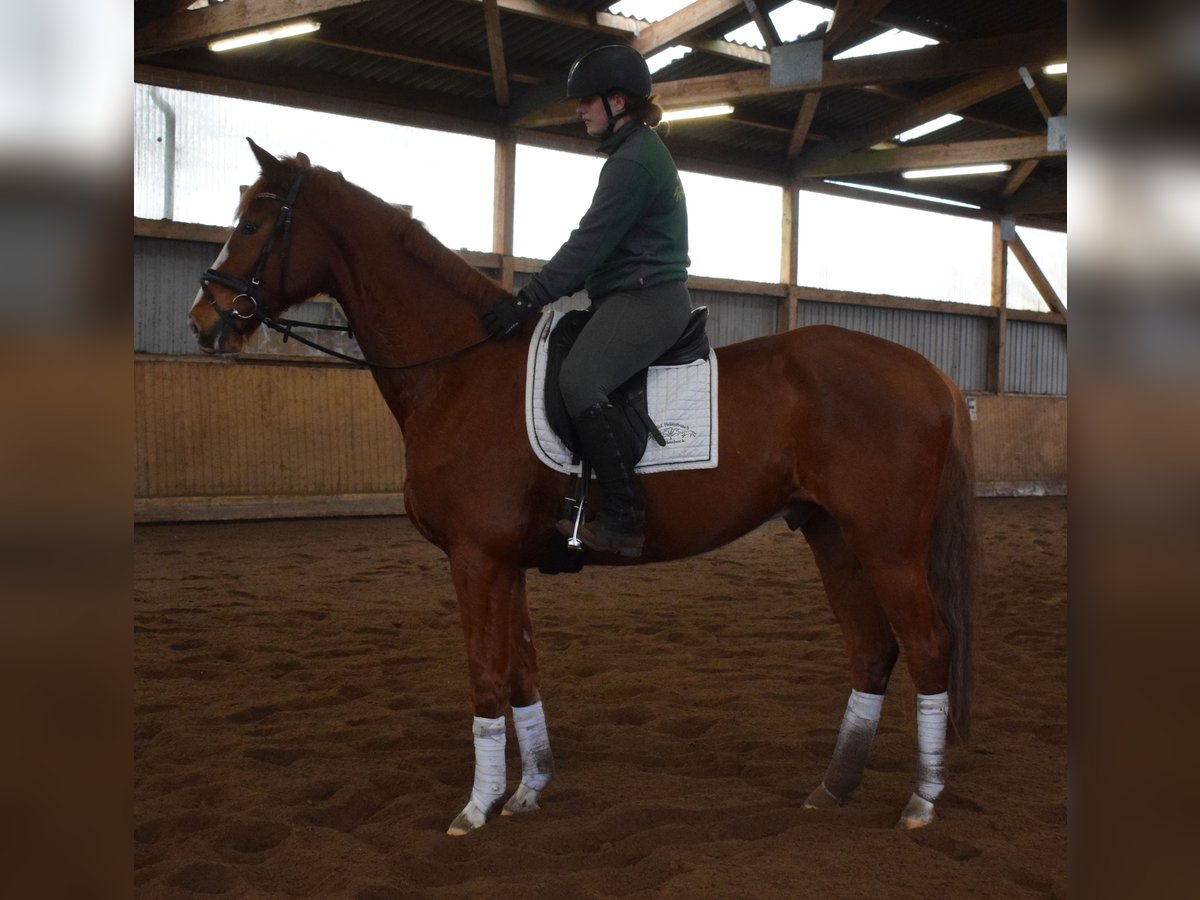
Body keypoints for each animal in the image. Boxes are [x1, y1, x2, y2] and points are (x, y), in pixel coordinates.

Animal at [184, 141, 974, 840]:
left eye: (252, 224)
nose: (202, 321)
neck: (462, 369)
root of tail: (930, 374)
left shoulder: (475, 559)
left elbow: (486, 676)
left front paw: (475, 810)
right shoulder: (504, 564)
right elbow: (522, 674)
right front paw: (527, 791)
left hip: (887, 546)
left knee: (928, 646)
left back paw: (921, 803)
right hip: (831, 534)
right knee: (872, 649)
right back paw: (832, 789)